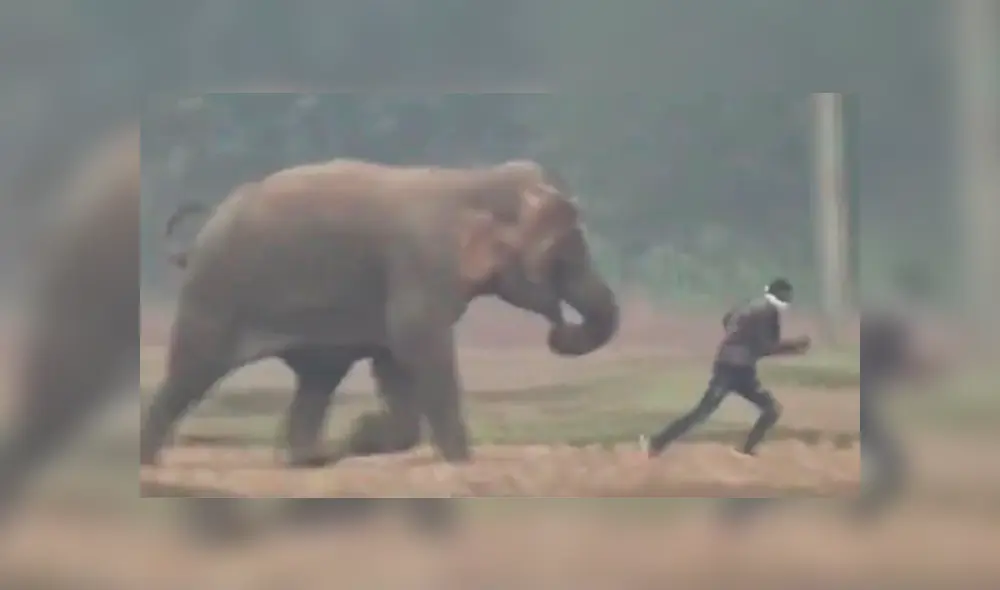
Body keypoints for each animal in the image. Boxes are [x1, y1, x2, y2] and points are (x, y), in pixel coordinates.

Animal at [141, 158, 620, 468]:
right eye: (560, 257)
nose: (559, 330)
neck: (474, 179)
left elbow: (395, 359)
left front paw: (362, 436)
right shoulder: (421, 261)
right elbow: (418, 345)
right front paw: (460, 461)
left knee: (317, 380)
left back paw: (307, 457)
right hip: (215, 293)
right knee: (192, 371)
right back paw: (150, 460)